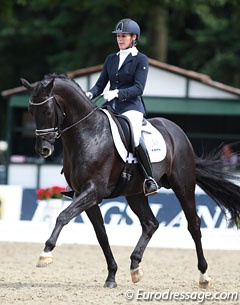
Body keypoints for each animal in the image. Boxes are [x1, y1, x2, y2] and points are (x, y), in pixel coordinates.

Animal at [21, 74, 240, 288]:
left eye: (48, 110)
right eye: (30, 111)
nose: (43, 150)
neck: (89, 134)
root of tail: (178, 132)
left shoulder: (93, 191)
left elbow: (63, 216)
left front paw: (46, 253)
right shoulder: (85, 196)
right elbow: (101, 234)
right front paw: (111, 276)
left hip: (183, 186)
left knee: (193, 224)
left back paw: (204, 275)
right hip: (135, 193)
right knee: (150, 223)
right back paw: (135, 266)